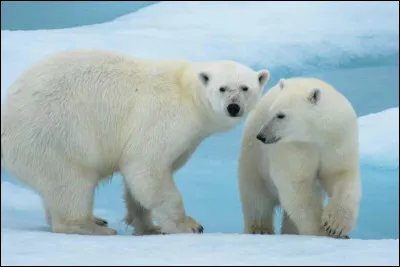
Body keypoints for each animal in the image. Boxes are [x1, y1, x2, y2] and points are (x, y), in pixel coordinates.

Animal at [1, 48, 270, 237]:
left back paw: (96, 219)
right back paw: (92, 226)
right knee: (71, 181)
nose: (233, 107)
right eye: (222, 88)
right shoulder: (163, 118)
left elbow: (139, 182)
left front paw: (149, 227)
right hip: (52, 136)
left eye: (245, 88)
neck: (187, 92)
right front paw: (189, 225)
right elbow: (147, 167)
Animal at [239, 77, 360, 239]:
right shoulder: (293, 147)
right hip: (253, 159)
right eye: (271, 112)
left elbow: (340, 174)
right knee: (256, 198)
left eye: (281, 115)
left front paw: (336, 226)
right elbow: (297, 186)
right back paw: (260, 229)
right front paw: (321, 231)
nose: (261, 136)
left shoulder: (338, 139)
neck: (315, 134)